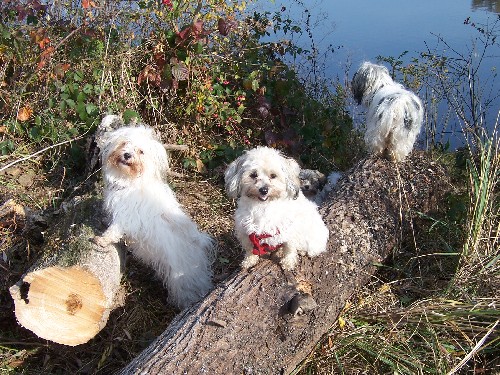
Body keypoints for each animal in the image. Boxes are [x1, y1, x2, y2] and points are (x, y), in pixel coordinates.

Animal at [94, 114, 214, 308]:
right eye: (125, 143)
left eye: (141, 151)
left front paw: (102, 240)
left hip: (182, 279)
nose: (127, 155)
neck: (130, 181)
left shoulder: (127, 217)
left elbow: (114, 230)